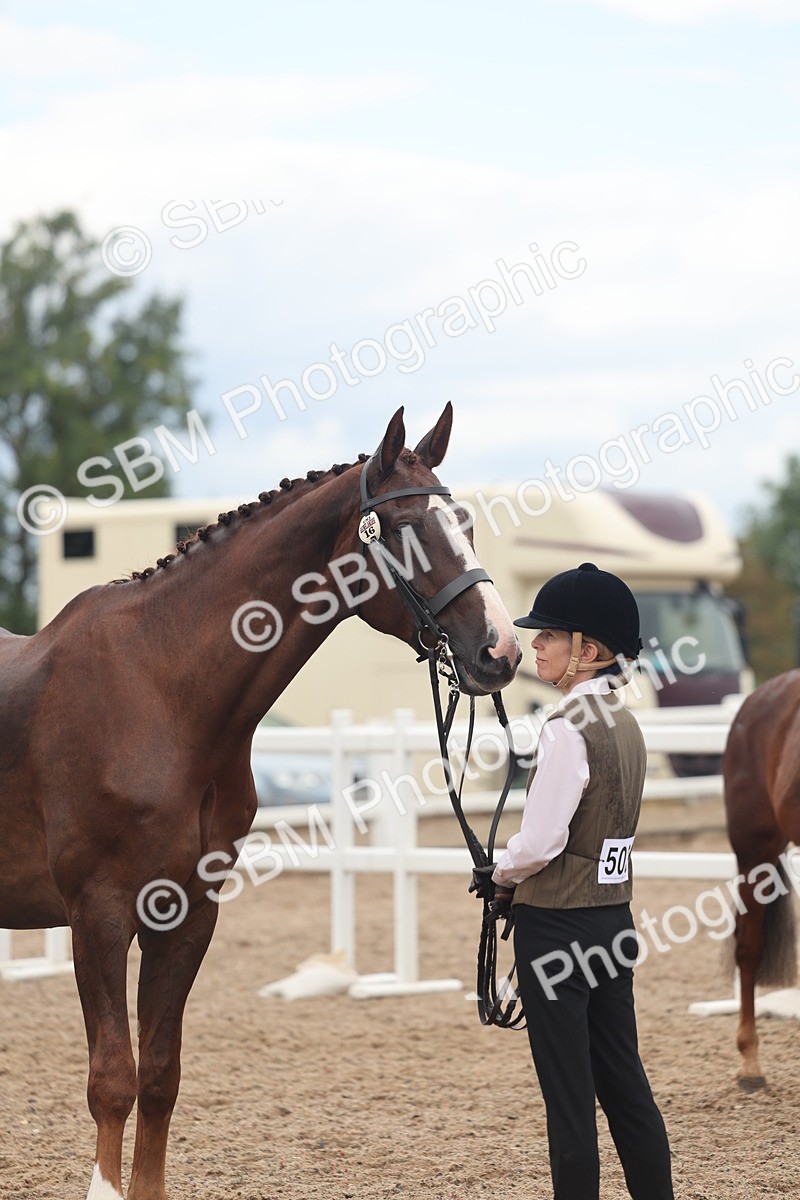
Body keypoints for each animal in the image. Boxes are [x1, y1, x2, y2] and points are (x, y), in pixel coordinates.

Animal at [0, 403, 521, 1200]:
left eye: (463, 520)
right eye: (405, 529)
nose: (501, 650)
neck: (160, 694)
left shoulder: (187, 914)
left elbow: (159, 1076)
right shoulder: (99, 914)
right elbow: (112, 1080)